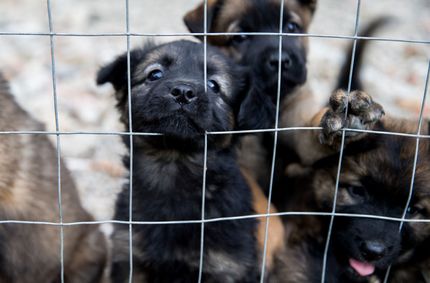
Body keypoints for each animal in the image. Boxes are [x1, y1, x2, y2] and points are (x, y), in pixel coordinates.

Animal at [97, 40, 286, 283]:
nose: (183, 92)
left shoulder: (226, 268)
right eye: (155, 74)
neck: (175, 165)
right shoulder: (129, 256)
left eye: (214, 85)